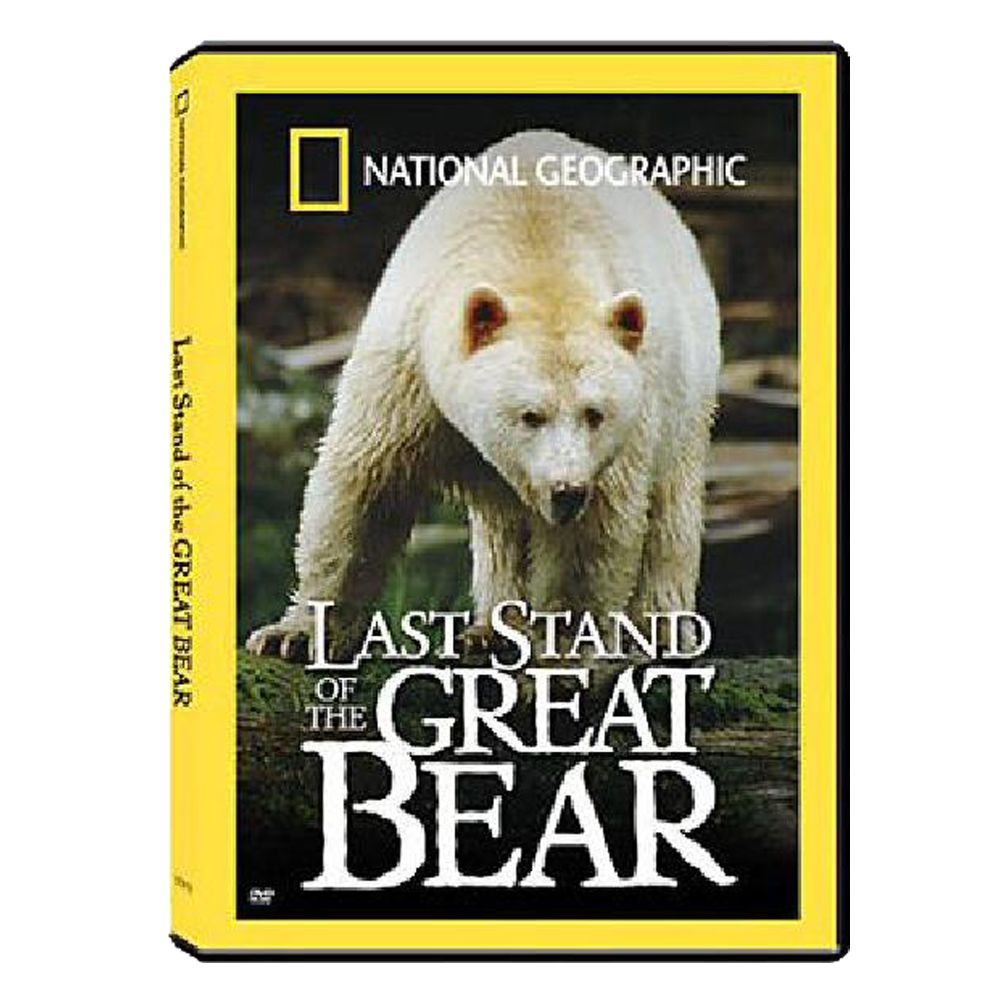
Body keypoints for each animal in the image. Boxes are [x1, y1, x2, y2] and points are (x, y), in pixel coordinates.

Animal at [246, 129, 721, 663]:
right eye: (530, 415)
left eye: (595, 413)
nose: (567, 491)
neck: (533, 248)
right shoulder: (408, 373)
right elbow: (363, 492)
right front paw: (294, 635)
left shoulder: (621, 441)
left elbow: (590, 539)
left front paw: (560, 653)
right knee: (503, 529)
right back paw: (493, 629)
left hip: (687, 395)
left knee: (670, 514)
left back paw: (659, 635)